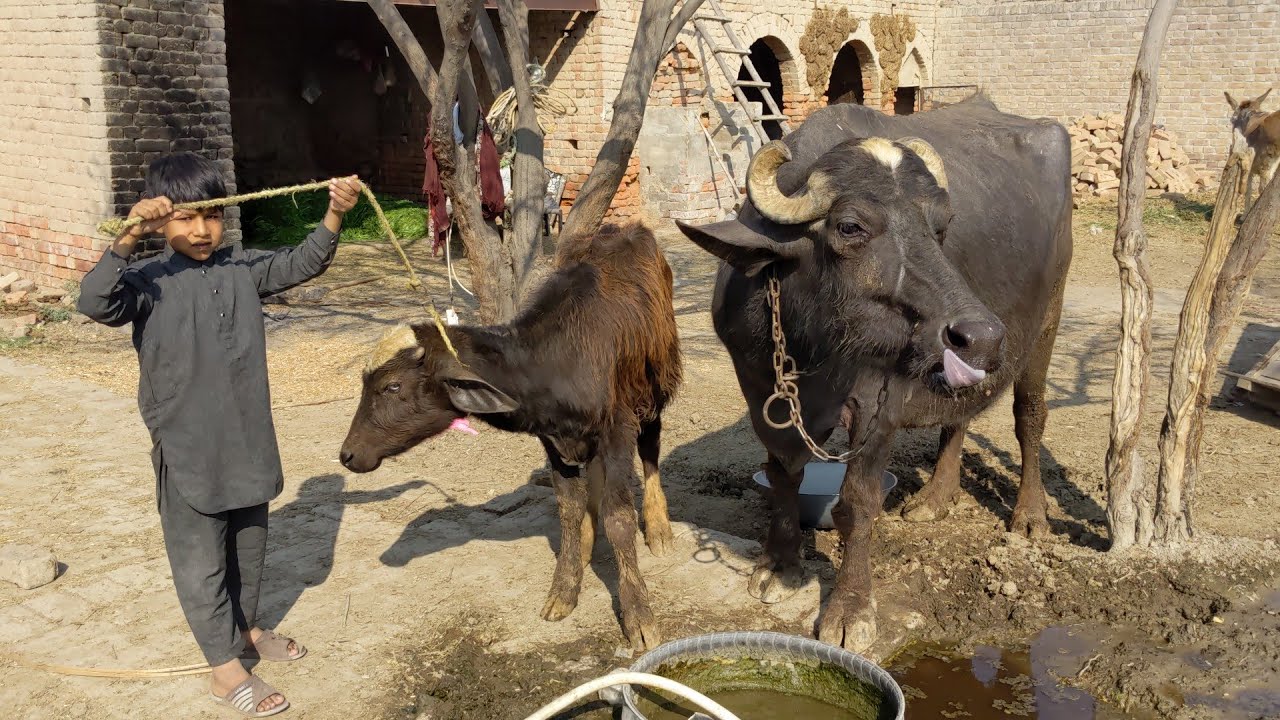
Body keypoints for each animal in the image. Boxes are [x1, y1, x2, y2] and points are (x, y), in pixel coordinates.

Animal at [338, 223, 683, 651]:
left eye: (392, 386)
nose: (348, 454)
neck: (555, 361)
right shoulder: (555, 443)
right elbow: (568, 512)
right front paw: (564, 588)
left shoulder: (617, 430)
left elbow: (620, 518)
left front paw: (639, 615)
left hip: (655, 386)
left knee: (651, 449)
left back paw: (659, 528)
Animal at [675, 95, 1073, 651]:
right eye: (850, 227)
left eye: (940, 227)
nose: (981, 334)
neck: (812, 344)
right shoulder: (757, 387)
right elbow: (783, 474)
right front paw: (779, 564)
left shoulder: (879, 402)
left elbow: (857, 502)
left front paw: (851, 608)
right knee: (958, 416)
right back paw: (935, 498)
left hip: (1047, 321)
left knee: (1029, 416)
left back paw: (1030, 515)